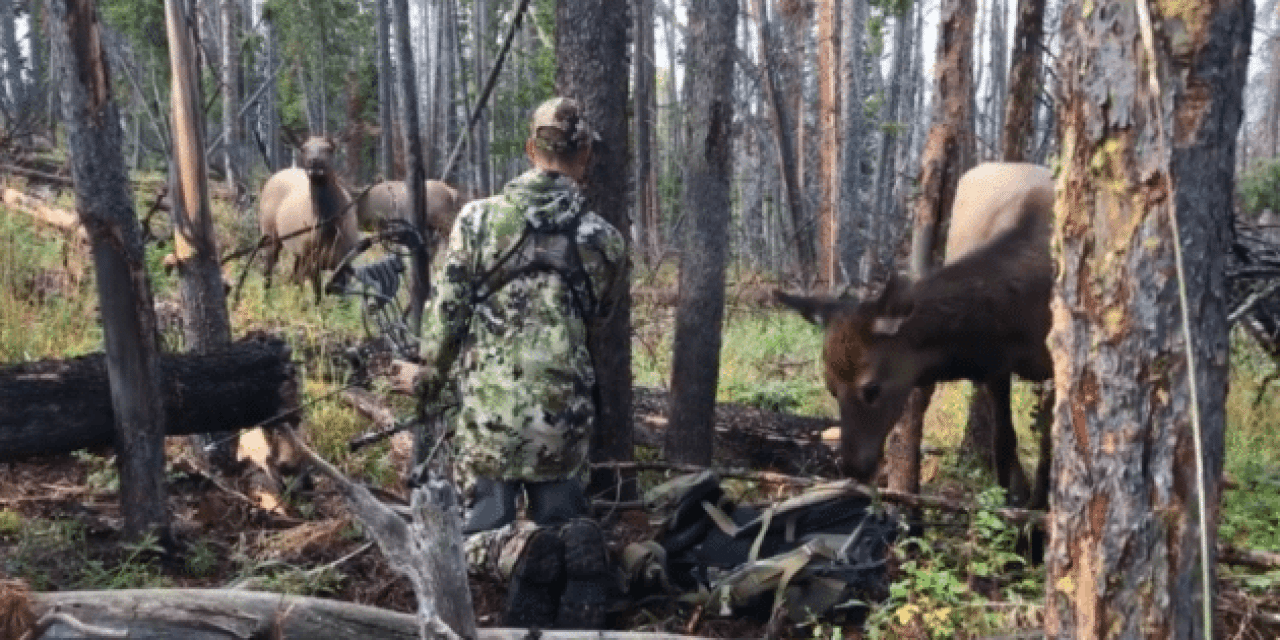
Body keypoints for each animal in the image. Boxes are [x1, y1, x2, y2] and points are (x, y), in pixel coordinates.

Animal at [256, 136, 360, 300]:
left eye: (329, 148)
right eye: (303, 148)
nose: (314, 161)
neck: (331, 229)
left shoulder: (344, 261)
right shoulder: (312, 261)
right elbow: (318, 296)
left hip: (298, 252)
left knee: (294, 278)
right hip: (270, 236)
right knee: (269, 271)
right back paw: (266, 301)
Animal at [773, 162, 1054, 506]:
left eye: (872, 388)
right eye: (831, 389)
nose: (853, 467)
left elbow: (1049, 450)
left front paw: (1037, 513)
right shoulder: (996, 366)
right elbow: (1004, 442)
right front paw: (1011, 503)